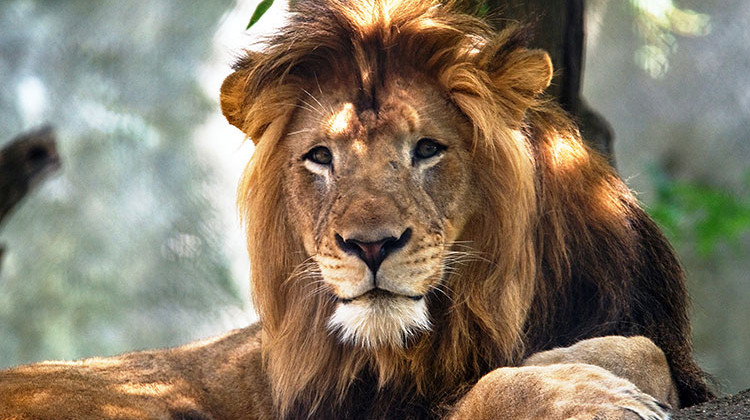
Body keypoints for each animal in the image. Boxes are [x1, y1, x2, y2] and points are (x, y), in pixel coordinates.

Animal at [0, 0, 712, 418]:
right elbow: (494, 387)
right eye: (320, 157)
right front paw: (584, 391)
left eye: (427, 148)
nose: (369, 246)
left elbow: (640, 348)